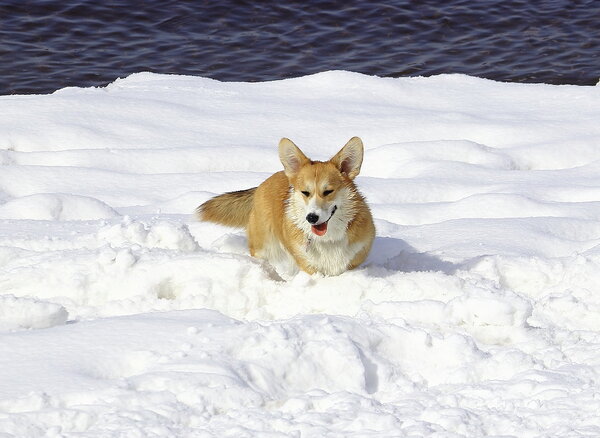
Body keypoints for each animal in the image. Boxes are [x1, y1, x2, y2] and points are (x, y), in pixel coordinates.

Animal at [197, 137, 376, 276]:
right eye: (305, 192)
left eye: (328, 191)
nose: (312, 218)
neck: (328, 239)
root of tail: (262, 184)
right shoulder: (308, 264)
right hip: (264, 247)